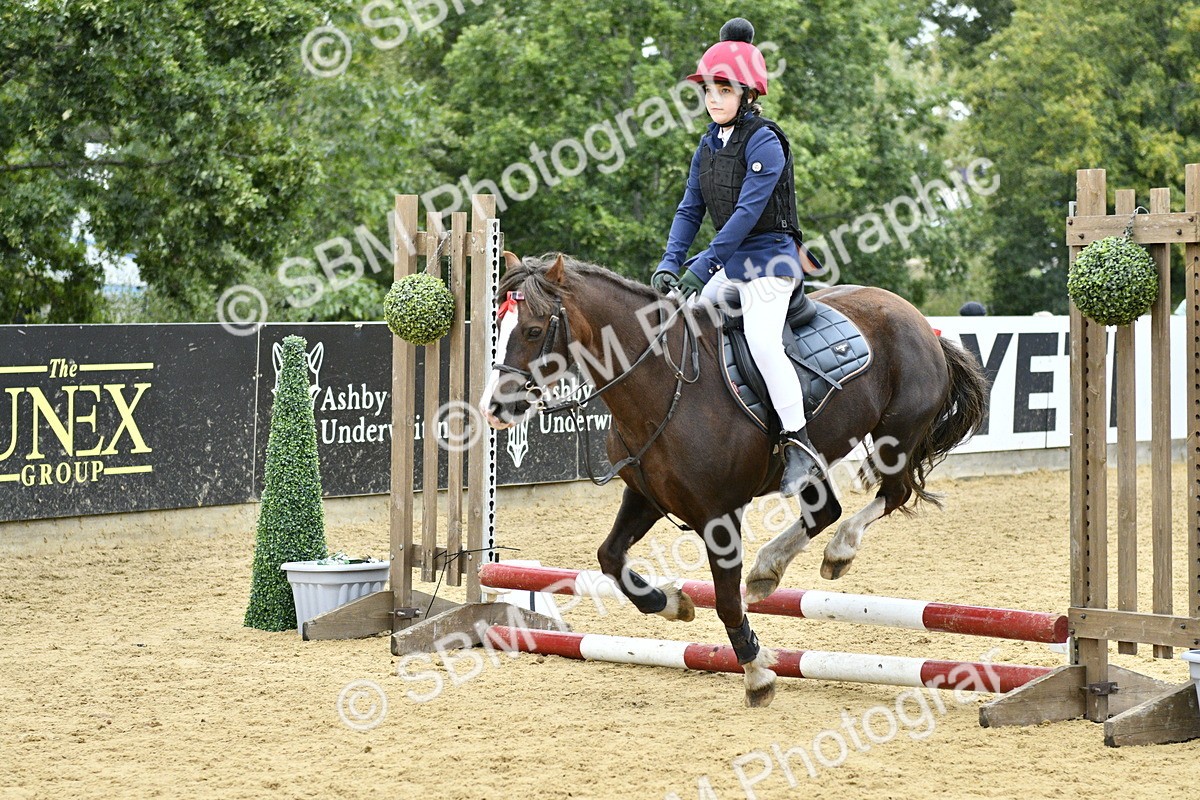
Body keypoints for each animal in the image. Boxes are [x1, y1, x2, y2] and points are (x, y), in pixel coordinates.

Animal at [481, 252, 988, 707]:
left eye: (533, 329)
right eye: (498, 329)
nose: (495, 409)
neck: (664, 385)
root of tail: (919, 320)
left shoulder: (718, 516)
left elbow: (726, 601)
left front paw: (757, 671)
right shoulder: (645, 495)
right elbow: (610, 558)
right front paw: (673, 603)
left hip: (895, 436)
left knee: (889, 494)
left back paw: (837, 550)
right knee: (825, 509)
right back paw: (768, 569)